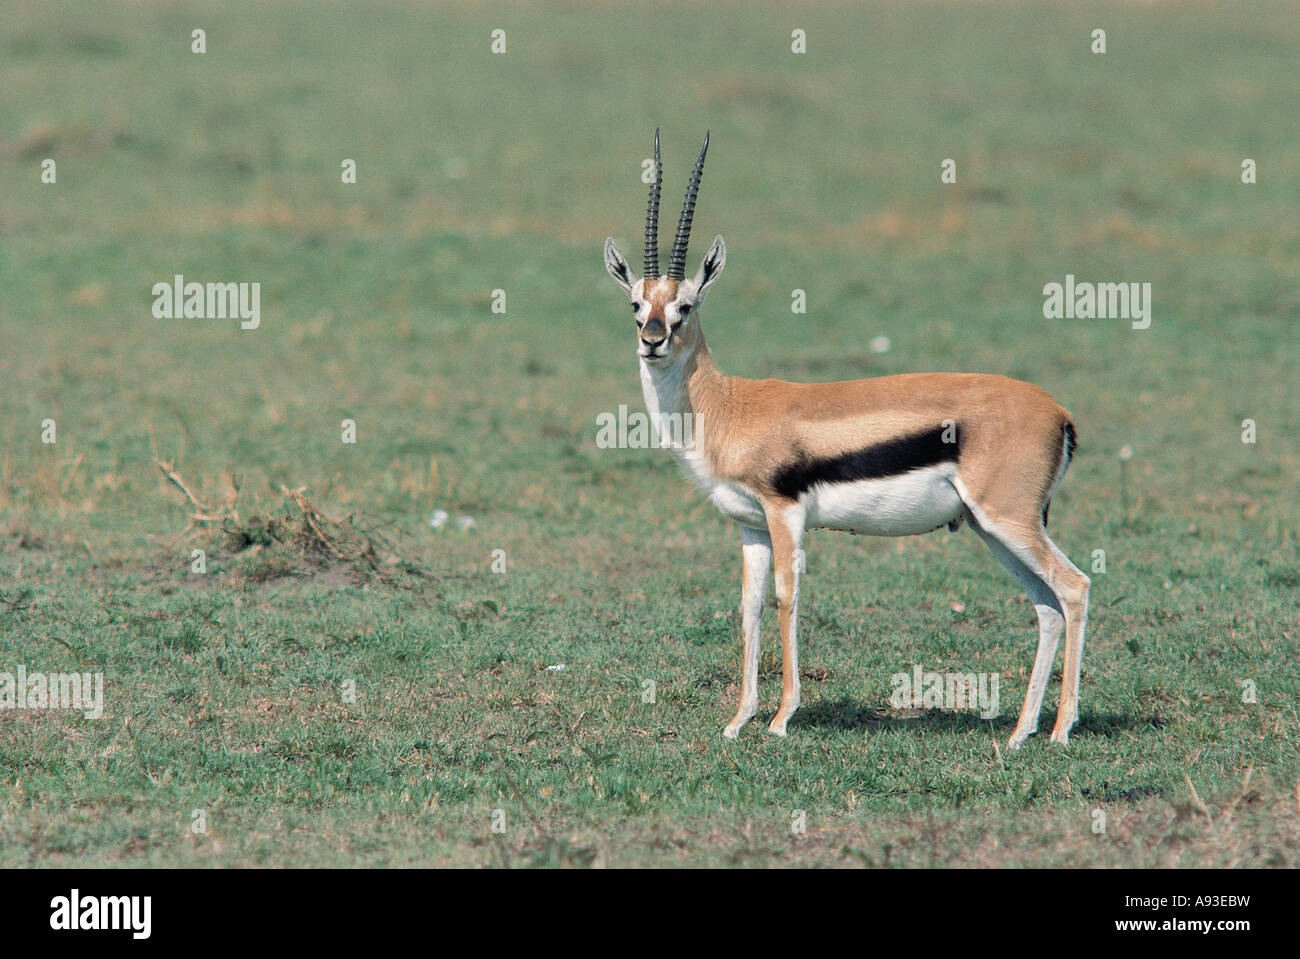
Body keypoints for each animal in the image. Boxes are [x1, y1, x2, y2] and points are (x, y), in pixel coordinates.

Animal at [603, 131, 1090, 748]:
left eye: (685, 305)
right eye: (636, 304)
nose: (653, 340)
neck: (725, 404)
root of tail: (1059, 412)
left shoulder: (785, 513)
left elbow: (787, 597)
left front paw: (781, 719)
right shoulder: (748, 524)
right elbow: (749, 606)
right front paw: (738, 720)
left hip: (1008, 519)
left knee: (1073, 588)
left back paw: (1060, 730)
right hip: (992, 527)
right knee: (1047, 605)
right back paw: (1021, 732)